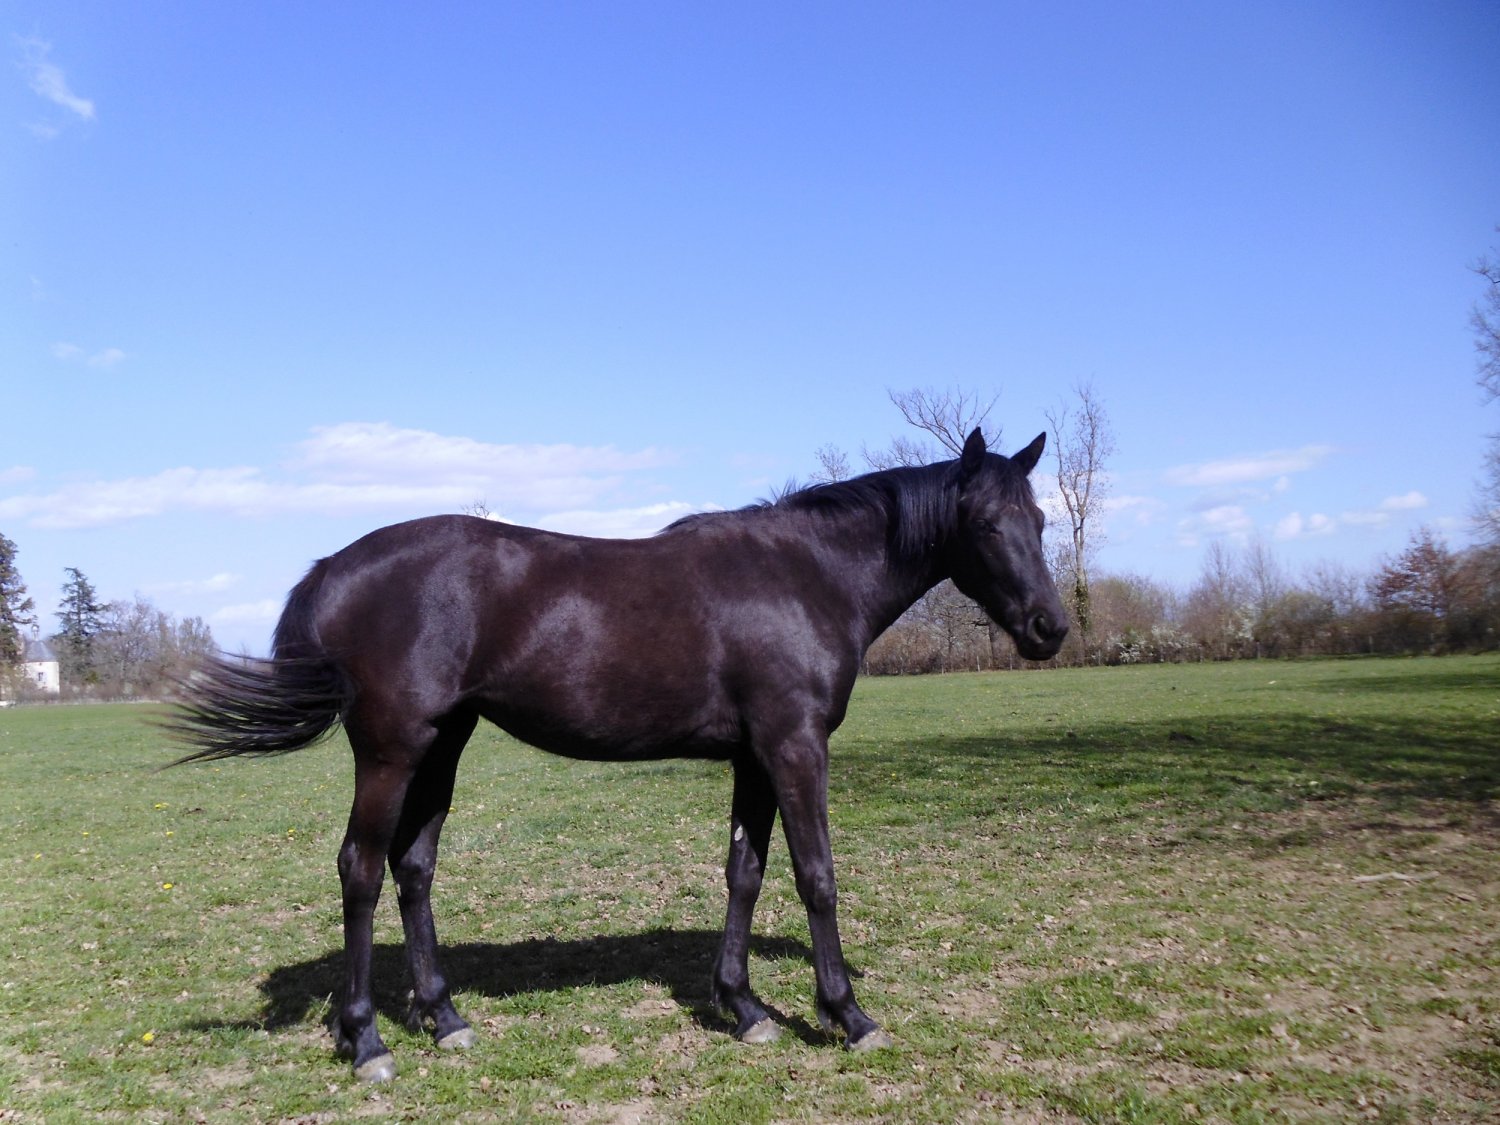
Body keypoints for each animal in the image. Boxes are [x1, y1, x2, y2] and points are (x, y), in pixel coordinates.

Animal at [169, 426, 1067, 1083]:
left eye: (1042, 521)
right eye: (988, 524)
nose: (1049, 628)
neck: (804, 575)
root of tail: (332, 566)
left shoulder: (754, 756)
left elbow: (745, 872)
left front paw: (743, 1008)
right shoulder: (794, 746)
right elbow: (817, 875)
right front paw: (848, 1015)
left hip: (442, 745)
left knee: (412, 866)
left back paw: (446, 1017)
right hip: (391, 753)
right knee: (359, 868)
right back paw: (367, 1042)